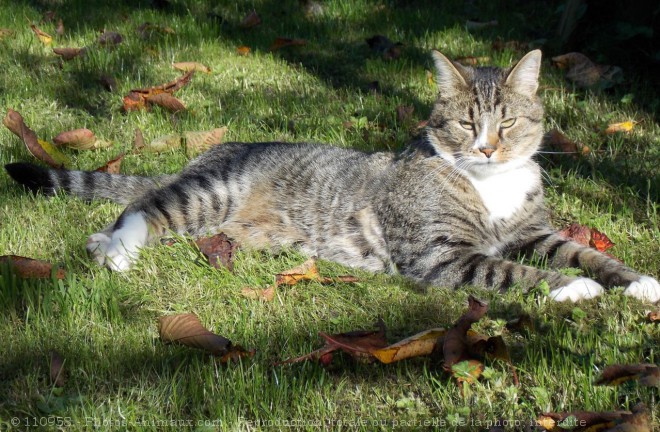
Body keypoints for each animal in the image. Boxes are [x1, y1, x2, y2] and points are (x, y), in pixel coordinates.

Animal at [5, 50, 660, 302]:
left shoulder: (534, 232)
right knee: (143, 207)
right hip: (207, 192)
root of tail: (217, 150)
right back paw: (114, 250)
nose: (487, 148)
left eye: (508, 122)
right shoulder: (441, 257)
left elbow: (582, 251)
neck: (487, 186)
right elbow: (513, 272)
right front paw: (575, 290)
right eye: (466, 123)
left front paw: (637, 282)